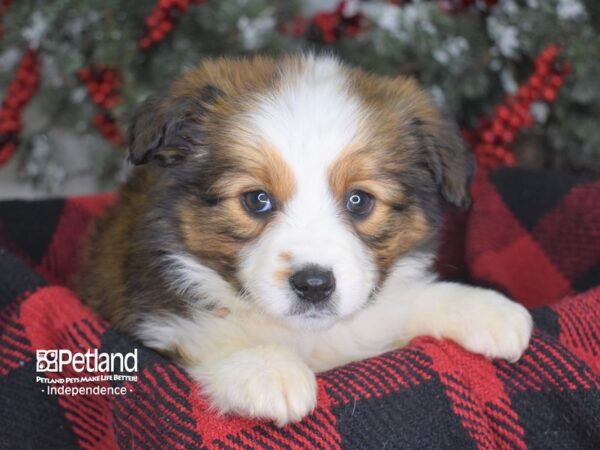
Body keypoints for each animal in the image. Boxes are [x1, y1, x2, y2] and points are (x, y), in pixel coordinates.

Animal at [77, 54, 532, 428]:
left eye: (359, 200)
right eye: (256, 199)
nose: (313, 286)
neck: (309, 336)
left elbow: (406, 302)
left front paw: (487, 310)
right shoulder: (156, 312)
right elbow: (201, 331)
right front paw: (267, 368)